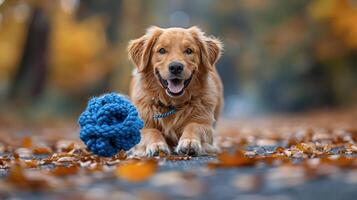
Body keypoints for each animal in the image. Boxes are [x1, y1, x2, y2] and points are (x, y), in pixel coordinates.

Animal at [128, 26, 221, 156]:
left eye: (189, 51)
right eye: (162, 50)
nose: (176, 67)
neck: (172, 103)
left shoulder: (205, 124)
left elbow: (194, 126)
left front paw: (189, 141)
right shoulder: (142, 125)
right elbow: (151, 131)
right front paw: (157, 145)